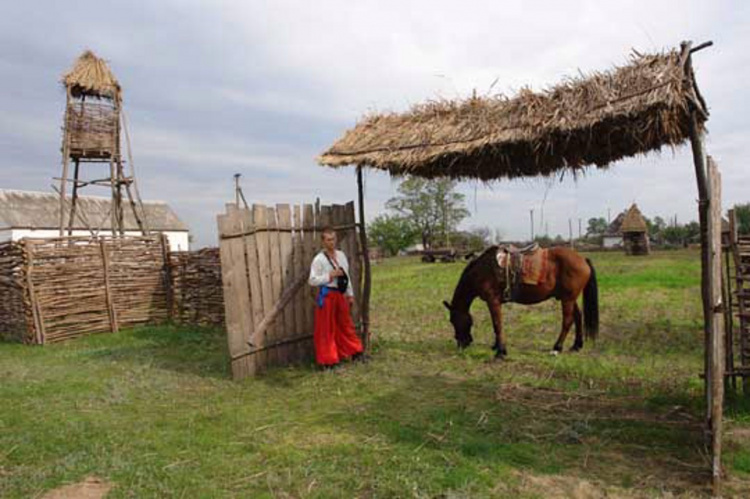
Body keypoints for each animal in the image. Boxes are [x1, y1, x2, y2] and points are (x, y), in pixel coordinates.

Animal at [444, 246, 604, 360]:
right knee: (578, 316)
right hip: (569, 298)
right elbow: (496, 324)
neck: (483, 270)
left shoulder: (492, 300)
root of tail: (582, 259)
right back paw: (577, 345)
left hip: (567, 299)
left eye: (453, 320)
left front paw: (501, 352)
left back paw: (557, 347)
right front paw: (496, 346)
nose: (462, 343)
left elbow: (497, 324)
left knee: (568, 321)